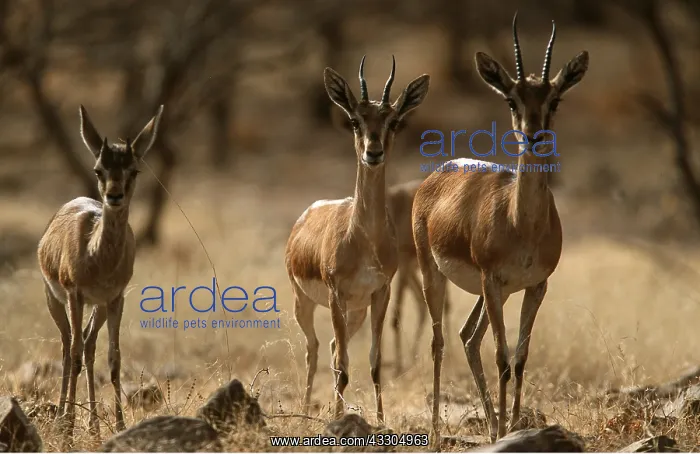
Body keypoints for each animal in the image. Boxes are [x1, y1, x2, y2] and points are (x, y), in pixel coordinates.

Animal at [37, 105, 163, 439]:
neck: (98, 257)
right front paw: (68, 427)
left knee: (89, 345)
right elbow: (75, 353)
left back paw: (93, 425)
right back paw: (62, 420)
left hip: (99, 307)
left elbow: (114, 357)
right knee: (69, 346)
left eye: (133, 170)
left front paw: (119, 425)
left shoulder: (115, 299)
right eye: (99, 170)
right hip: (56, 301)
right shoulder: (75, 294)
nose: (114, 196)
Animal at [285, 56, 430, 423]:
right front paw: (337, 419)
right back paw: (306, 411)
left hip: (356, 312)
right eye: (355, 120)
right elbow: (341, 366)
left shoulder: (380, 294)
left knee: (333, 347)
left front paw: (379, 420)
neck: (363, 239)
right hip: (304, 302)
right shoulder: (336, 294)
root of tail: (306, 215)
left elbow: (374, 363)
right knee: (314, 349)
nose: (373, 152)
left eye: (393, 121)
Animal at [412, 13, 588, 442]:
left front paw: (512, 426)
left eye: (554, 100)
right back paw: (439, 434)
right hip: (436, 276)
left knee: (467, 338)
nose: (533, 136)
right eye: (512, 100)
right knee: (440, 342)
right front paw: (508, 430)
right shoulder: (493, 280)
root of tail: (438, 173)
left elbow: (520, 358)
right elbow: (501, 358)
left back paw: (492, 426)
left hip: (494, 292)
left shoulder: (535, 286)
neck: (521, 223)